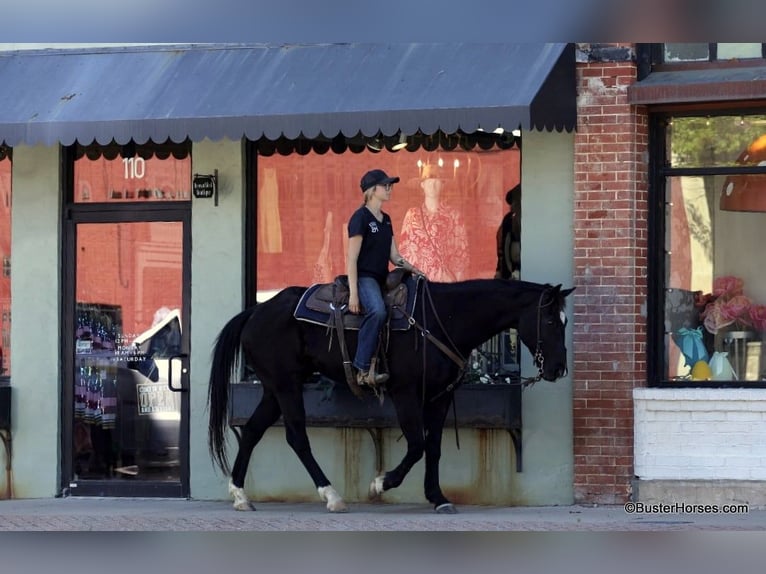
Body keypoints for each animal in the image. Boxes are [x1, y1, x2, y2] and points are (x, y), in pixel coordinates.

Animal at [207, 276, 572, 516]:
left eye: (564, 321)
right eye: (550, 320)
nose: (558, 368)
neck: (440, 319)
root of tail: (255, 312)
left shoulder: (440, 397)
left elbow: (434, 447)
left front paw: (438, 496)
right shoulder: (405, 393)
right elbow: (416, 445)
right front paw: (381, 483)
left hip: (274, 388)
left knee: (252, 432)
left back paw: (240, 495)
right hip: (286, 386)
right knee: (297, 437)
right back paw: (332, 496)